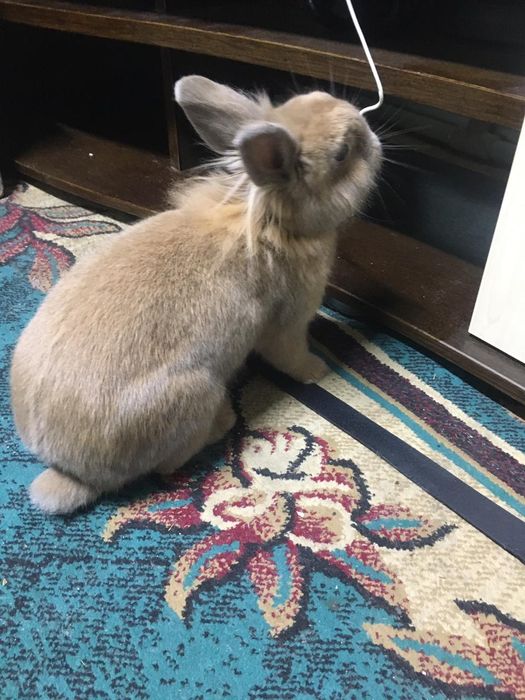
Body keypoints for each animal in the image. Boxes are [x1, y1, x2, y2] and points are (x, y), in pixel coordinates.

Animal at [10, 75, 382, 515]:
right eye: (342, 153)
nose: (374, 138)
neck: (270, 219)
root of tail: (69, 470)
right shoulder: (287, 325)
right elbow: (290, 356)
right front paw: (318, 370)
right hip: (195, 393)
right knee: (169, 464)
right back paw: (223, 424)